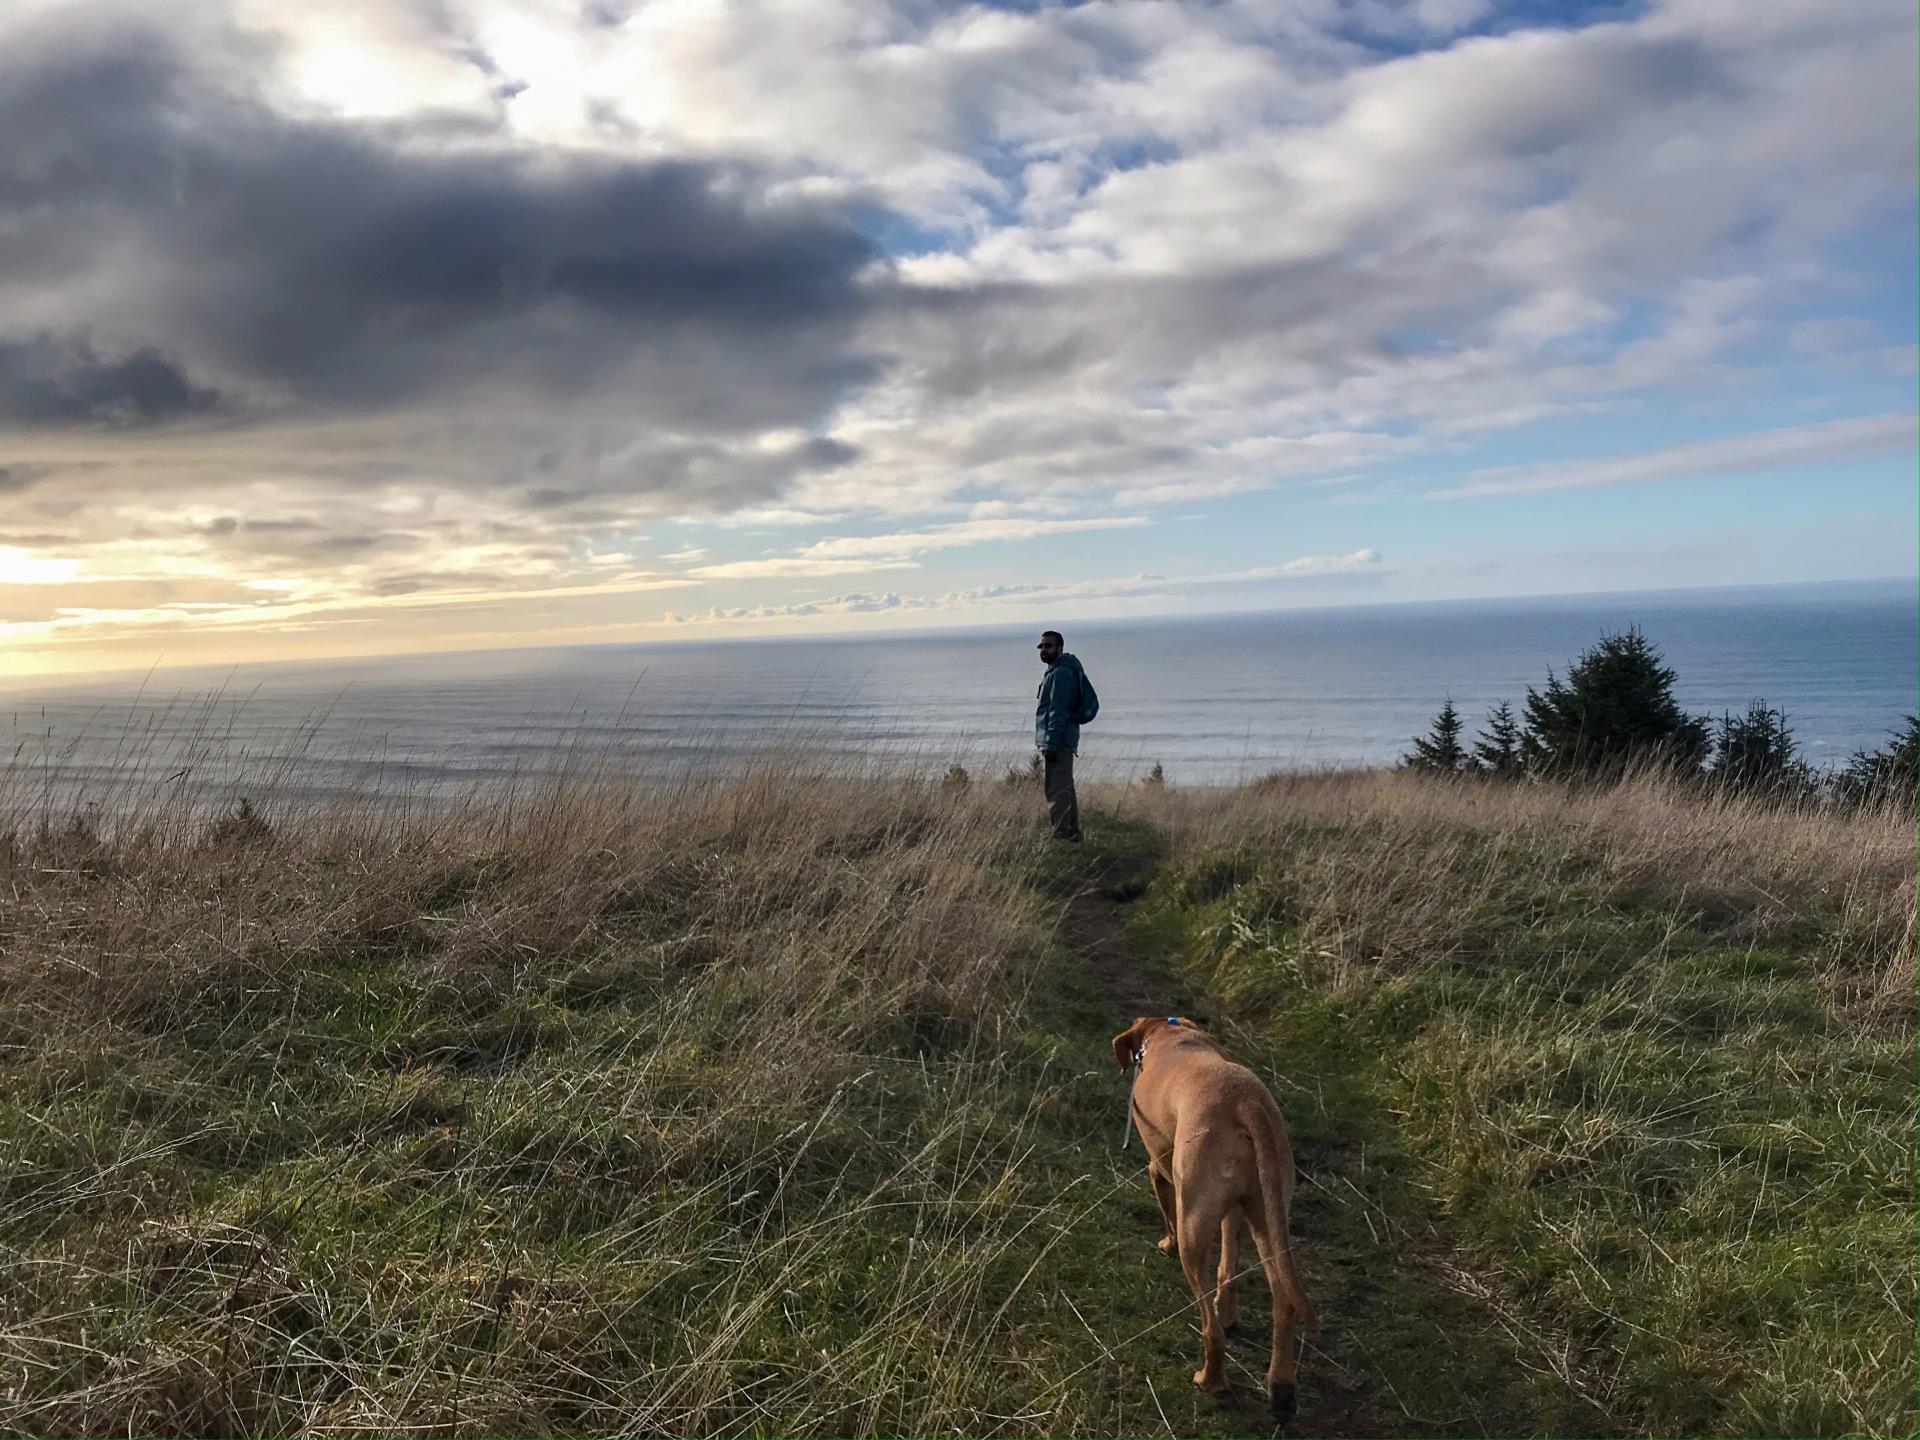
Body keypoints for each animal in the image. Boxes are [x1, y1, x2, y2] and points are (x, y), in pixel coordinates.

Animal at [1121, 1021, 1313, 1413]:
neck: (1164, 1032)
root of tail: (1246, 1104)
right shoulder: (1234, 1209)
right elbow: (1229, 1263)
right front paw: (1228, 1309)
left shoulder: (1160, 1169)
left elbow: (1166, 1208)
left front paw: (1166, 1243)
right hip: (1267, 1216)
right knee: (1282, 1301)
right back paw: (1282, 1388)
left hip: (1194, 1224)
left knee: (1209, 1328)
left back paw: (1211, 1380)